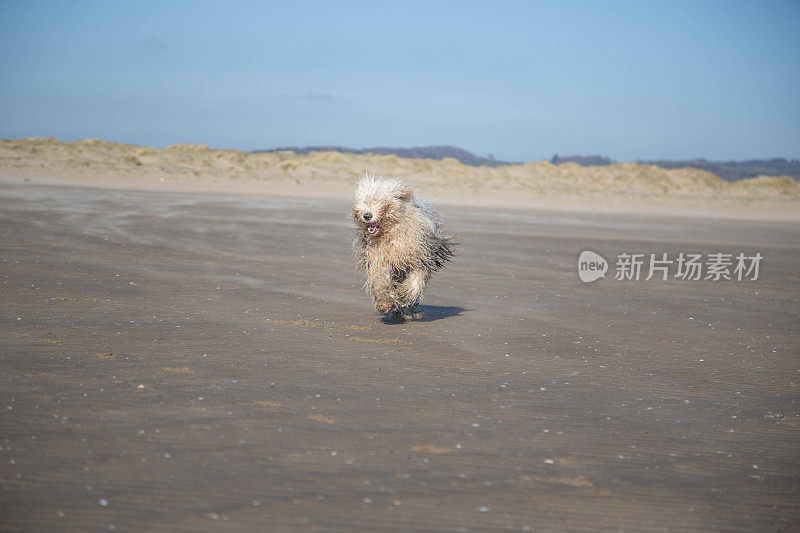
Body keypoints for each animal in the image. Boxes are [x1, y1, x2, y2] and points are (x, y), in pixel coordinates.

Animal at [352, 174, 456, 320]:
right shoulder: (379, 259)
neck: (392, 233)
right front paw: (385, 303)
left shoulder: (420, 257)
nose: (367, 215)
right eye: (365, 201)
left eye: (382, 202)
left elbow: (415, 281)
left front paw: (406, 296)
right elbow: (380, 280)